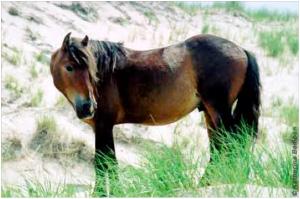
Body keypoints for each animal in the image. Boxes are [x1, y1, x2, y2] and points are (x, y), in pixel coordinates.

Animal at [49, 32, 260, 194]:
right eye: (69, 67)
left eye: (91, 70)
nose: (88, 107)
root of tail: (241, 50)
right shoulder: (102, 128)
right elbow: (107, 162)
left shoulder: (103, 126)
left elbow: (104, 163)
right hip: (210, 114)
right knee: (219, 149)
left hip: (219, 111)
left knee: (233, 146)